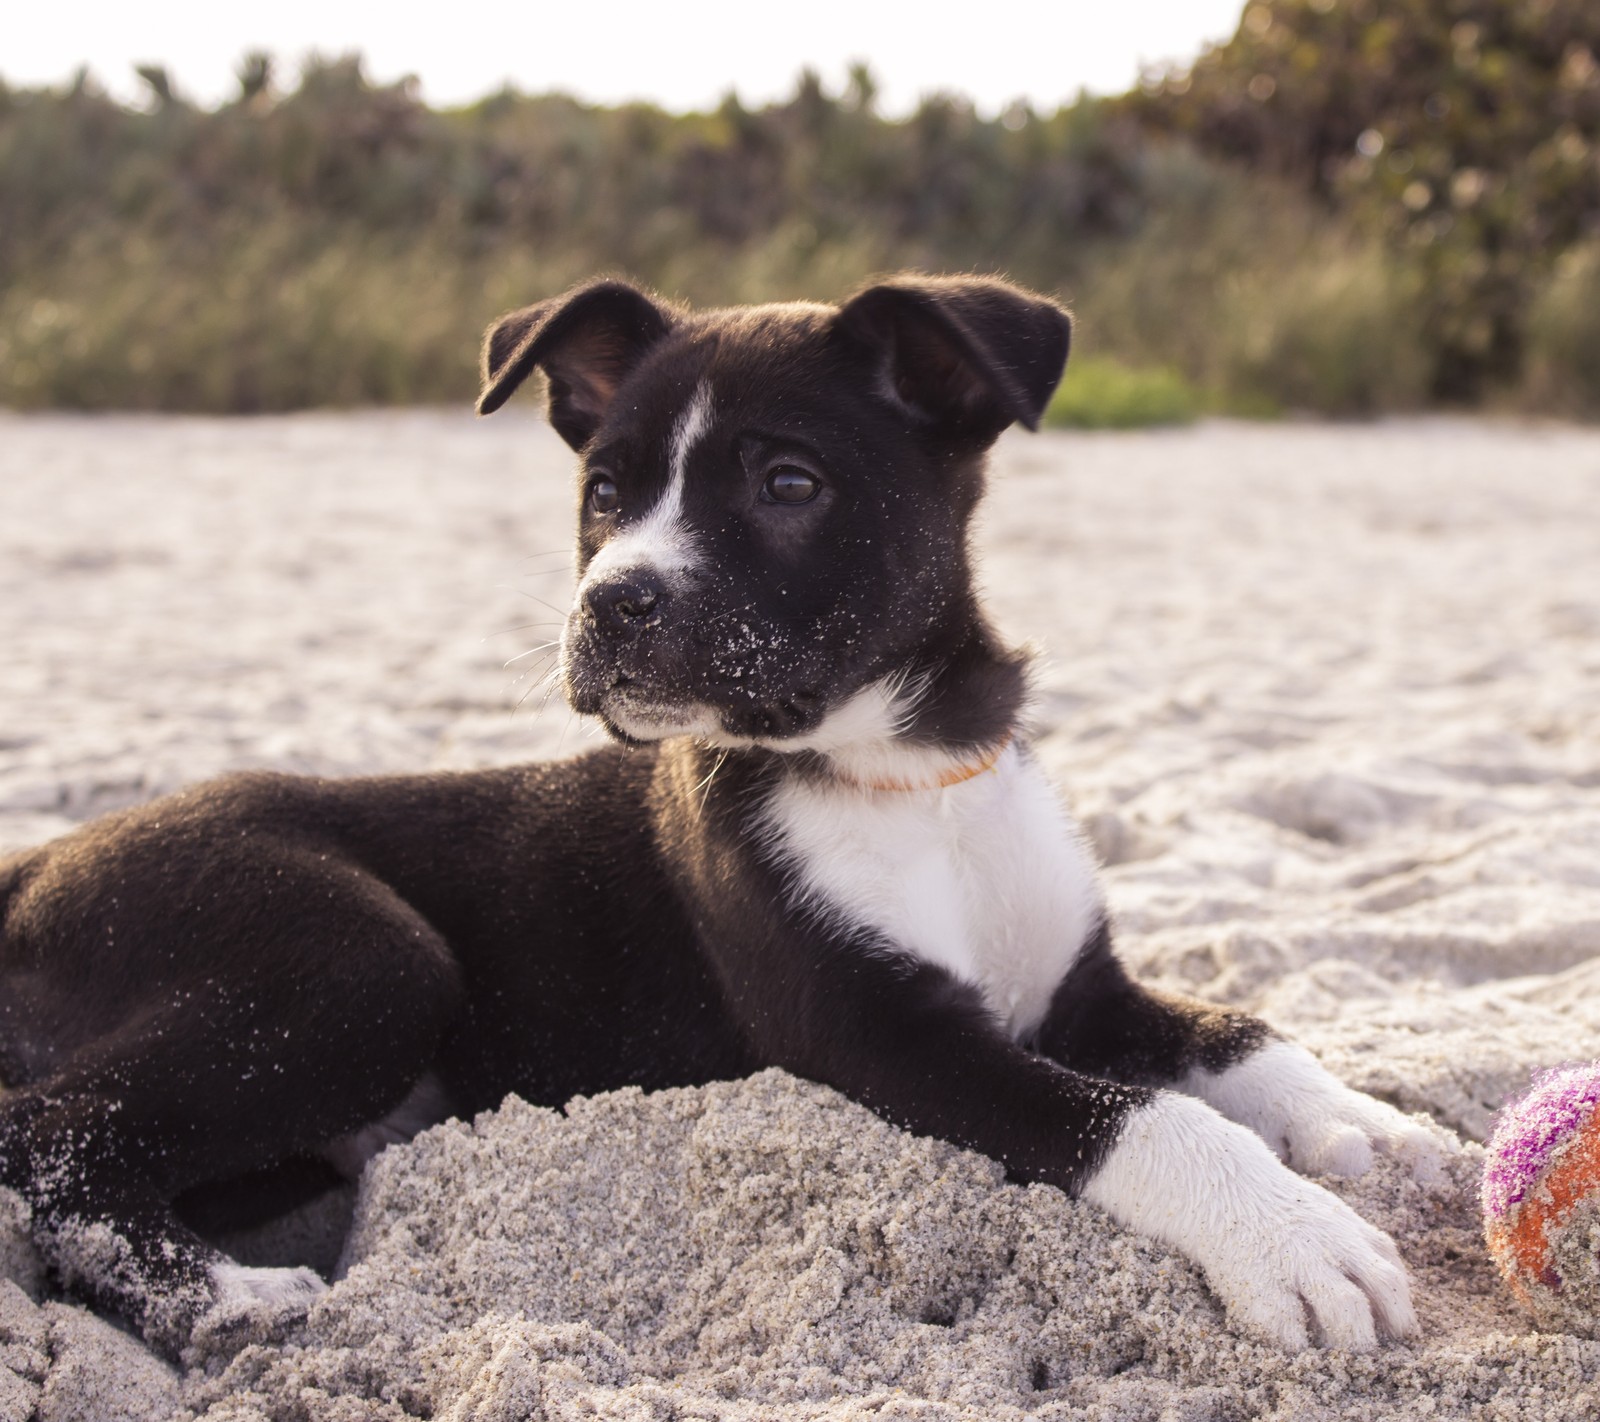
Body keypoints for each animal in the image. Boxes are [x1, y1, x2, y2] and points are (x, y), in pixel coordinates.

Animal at [0, 275, 1452, 1356]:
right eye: (602, 493)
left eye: (788, 484)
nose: (610, 605)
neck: (899, 770)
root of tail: (42, 860)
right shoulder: (880, 1036)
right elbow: (1138, 1116)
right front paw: (1293, 1237)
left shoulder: (1078, 984)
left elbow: (1234, 1029)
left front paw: (1370, 1124)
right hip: (359, 960)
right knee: (45, 1145)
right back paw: (225, 1297)